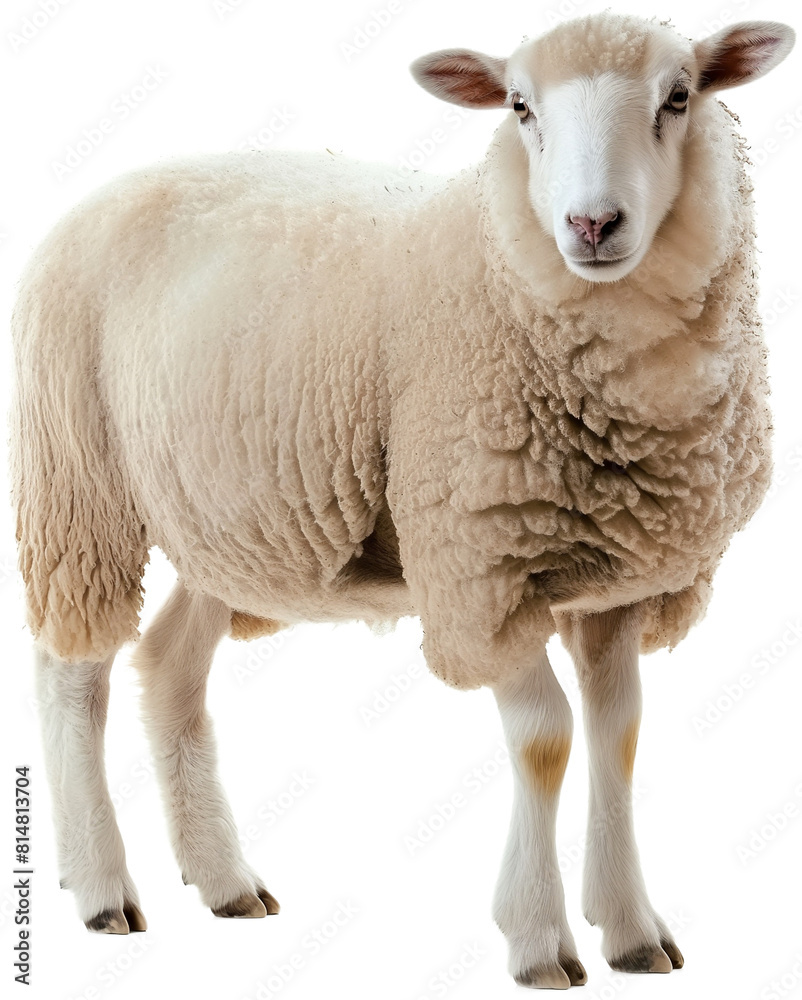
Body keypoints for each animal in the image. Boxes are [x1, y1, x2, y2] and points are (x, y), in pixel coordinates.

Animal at [9, 10, 794, 990]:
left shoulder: (615, 583)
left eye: (679, 96)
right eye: (520, 107)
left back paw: (224, 880)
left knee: (170, 663)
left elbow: (618, 734)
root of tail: (102, 192)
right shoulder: (478, 568)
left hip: (228, 519)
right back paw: (101, 887)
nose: (591, 223)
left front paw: (631, 931)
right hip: (79, 487)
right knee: (72, 676)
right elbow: (546, 738)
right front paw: (538, 940)